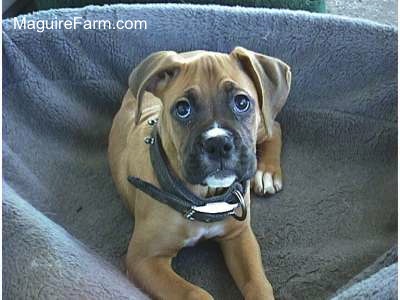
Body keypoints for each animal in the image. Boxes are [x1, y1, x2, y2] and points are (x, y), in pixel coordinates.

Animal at [108, 47, 290, 300]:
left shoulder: (239, 235)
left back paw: (267, 172)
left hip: (262, 127)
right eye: (183, 109)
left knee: (275, 126)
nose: (218, 143)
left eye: (242, 102)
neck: (204, 198)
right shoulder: (144, 260)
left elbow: (258, 284)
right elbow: (195, 293)